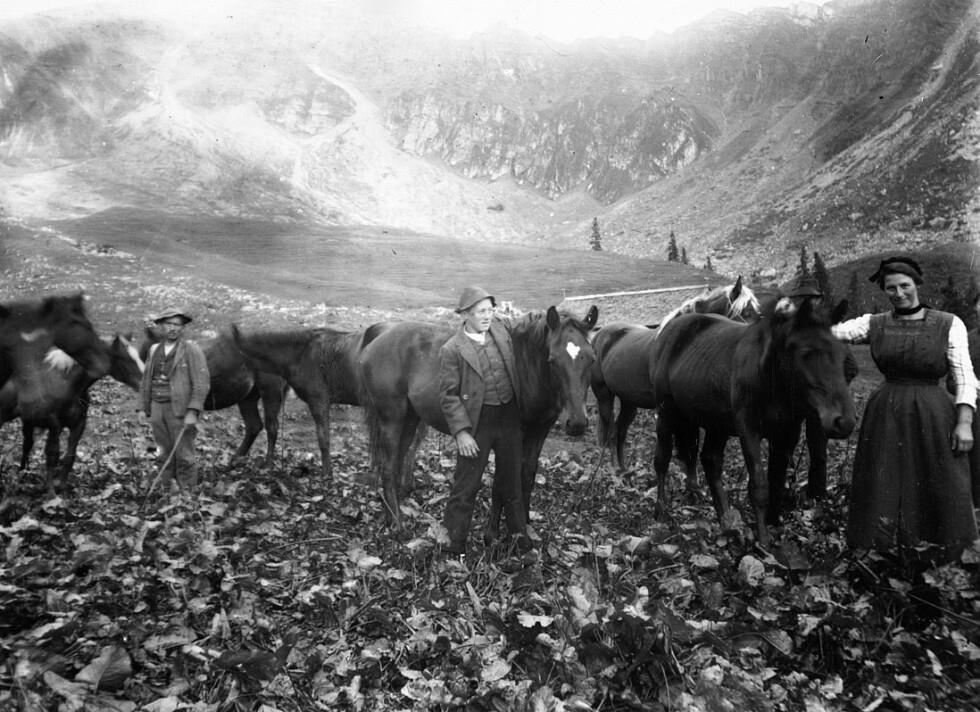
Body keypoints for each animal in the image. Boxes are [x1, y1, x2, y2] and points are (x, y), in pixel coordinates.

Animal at [0, 334, 144, 489]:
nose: (143, 383)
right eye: (123, 358)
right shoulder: (53, 424)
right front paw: (50, 491)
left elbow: (70, 455)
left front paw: (62, 485)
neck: (67, 385)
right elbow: (52, 454)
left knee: (27, 445)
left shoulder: (78, 424)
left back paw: (23, 472)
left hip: (28, 421)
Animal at [140, 328, 291, 468]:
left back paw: (267, 465)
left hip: (270, 391)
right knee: (254, 425)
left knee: (271, 426)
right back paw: (233, 461)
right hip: (248, 397)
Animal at [356, 305, 599, 530]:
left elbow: (527, 476)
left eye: (591, 359)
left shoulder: (538, 431)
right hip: (392, 419)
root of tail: (376, 340)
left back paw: (392, 514)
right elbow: (503, 482)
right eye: (553, 360)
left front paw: (526, 526)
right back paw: (397, 524)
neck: (525, 367)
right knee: (388, 467)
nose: (577, 423)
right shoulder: (511, 436)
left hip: (409, 419)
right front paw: (493, 534)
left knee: (396, 462)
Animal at [591, 277, 761, 477]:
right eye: (746, 312)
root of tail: (599, 335)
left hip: (628, 401)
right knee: (610, 432)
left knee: (620, 431)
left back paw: (624, 470)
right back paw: (614, 470)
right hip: (605, 396)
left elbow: (689, 452)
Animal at [649, 298, 856, 547]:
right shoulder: (748, 430)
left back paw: (727, 522)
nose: (844, 422)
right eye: (807, 354)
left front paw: (774, 525)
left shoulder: (787, 434)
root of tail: (669, 330)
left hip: (716, 425)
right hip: (666, 413)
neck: (768, 377)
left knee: (710, 462)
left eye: (842, 355)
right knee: (662, 460)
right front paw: (764, 541)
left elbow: (776, 479)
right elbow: (758, 484)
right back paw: (661, 511)